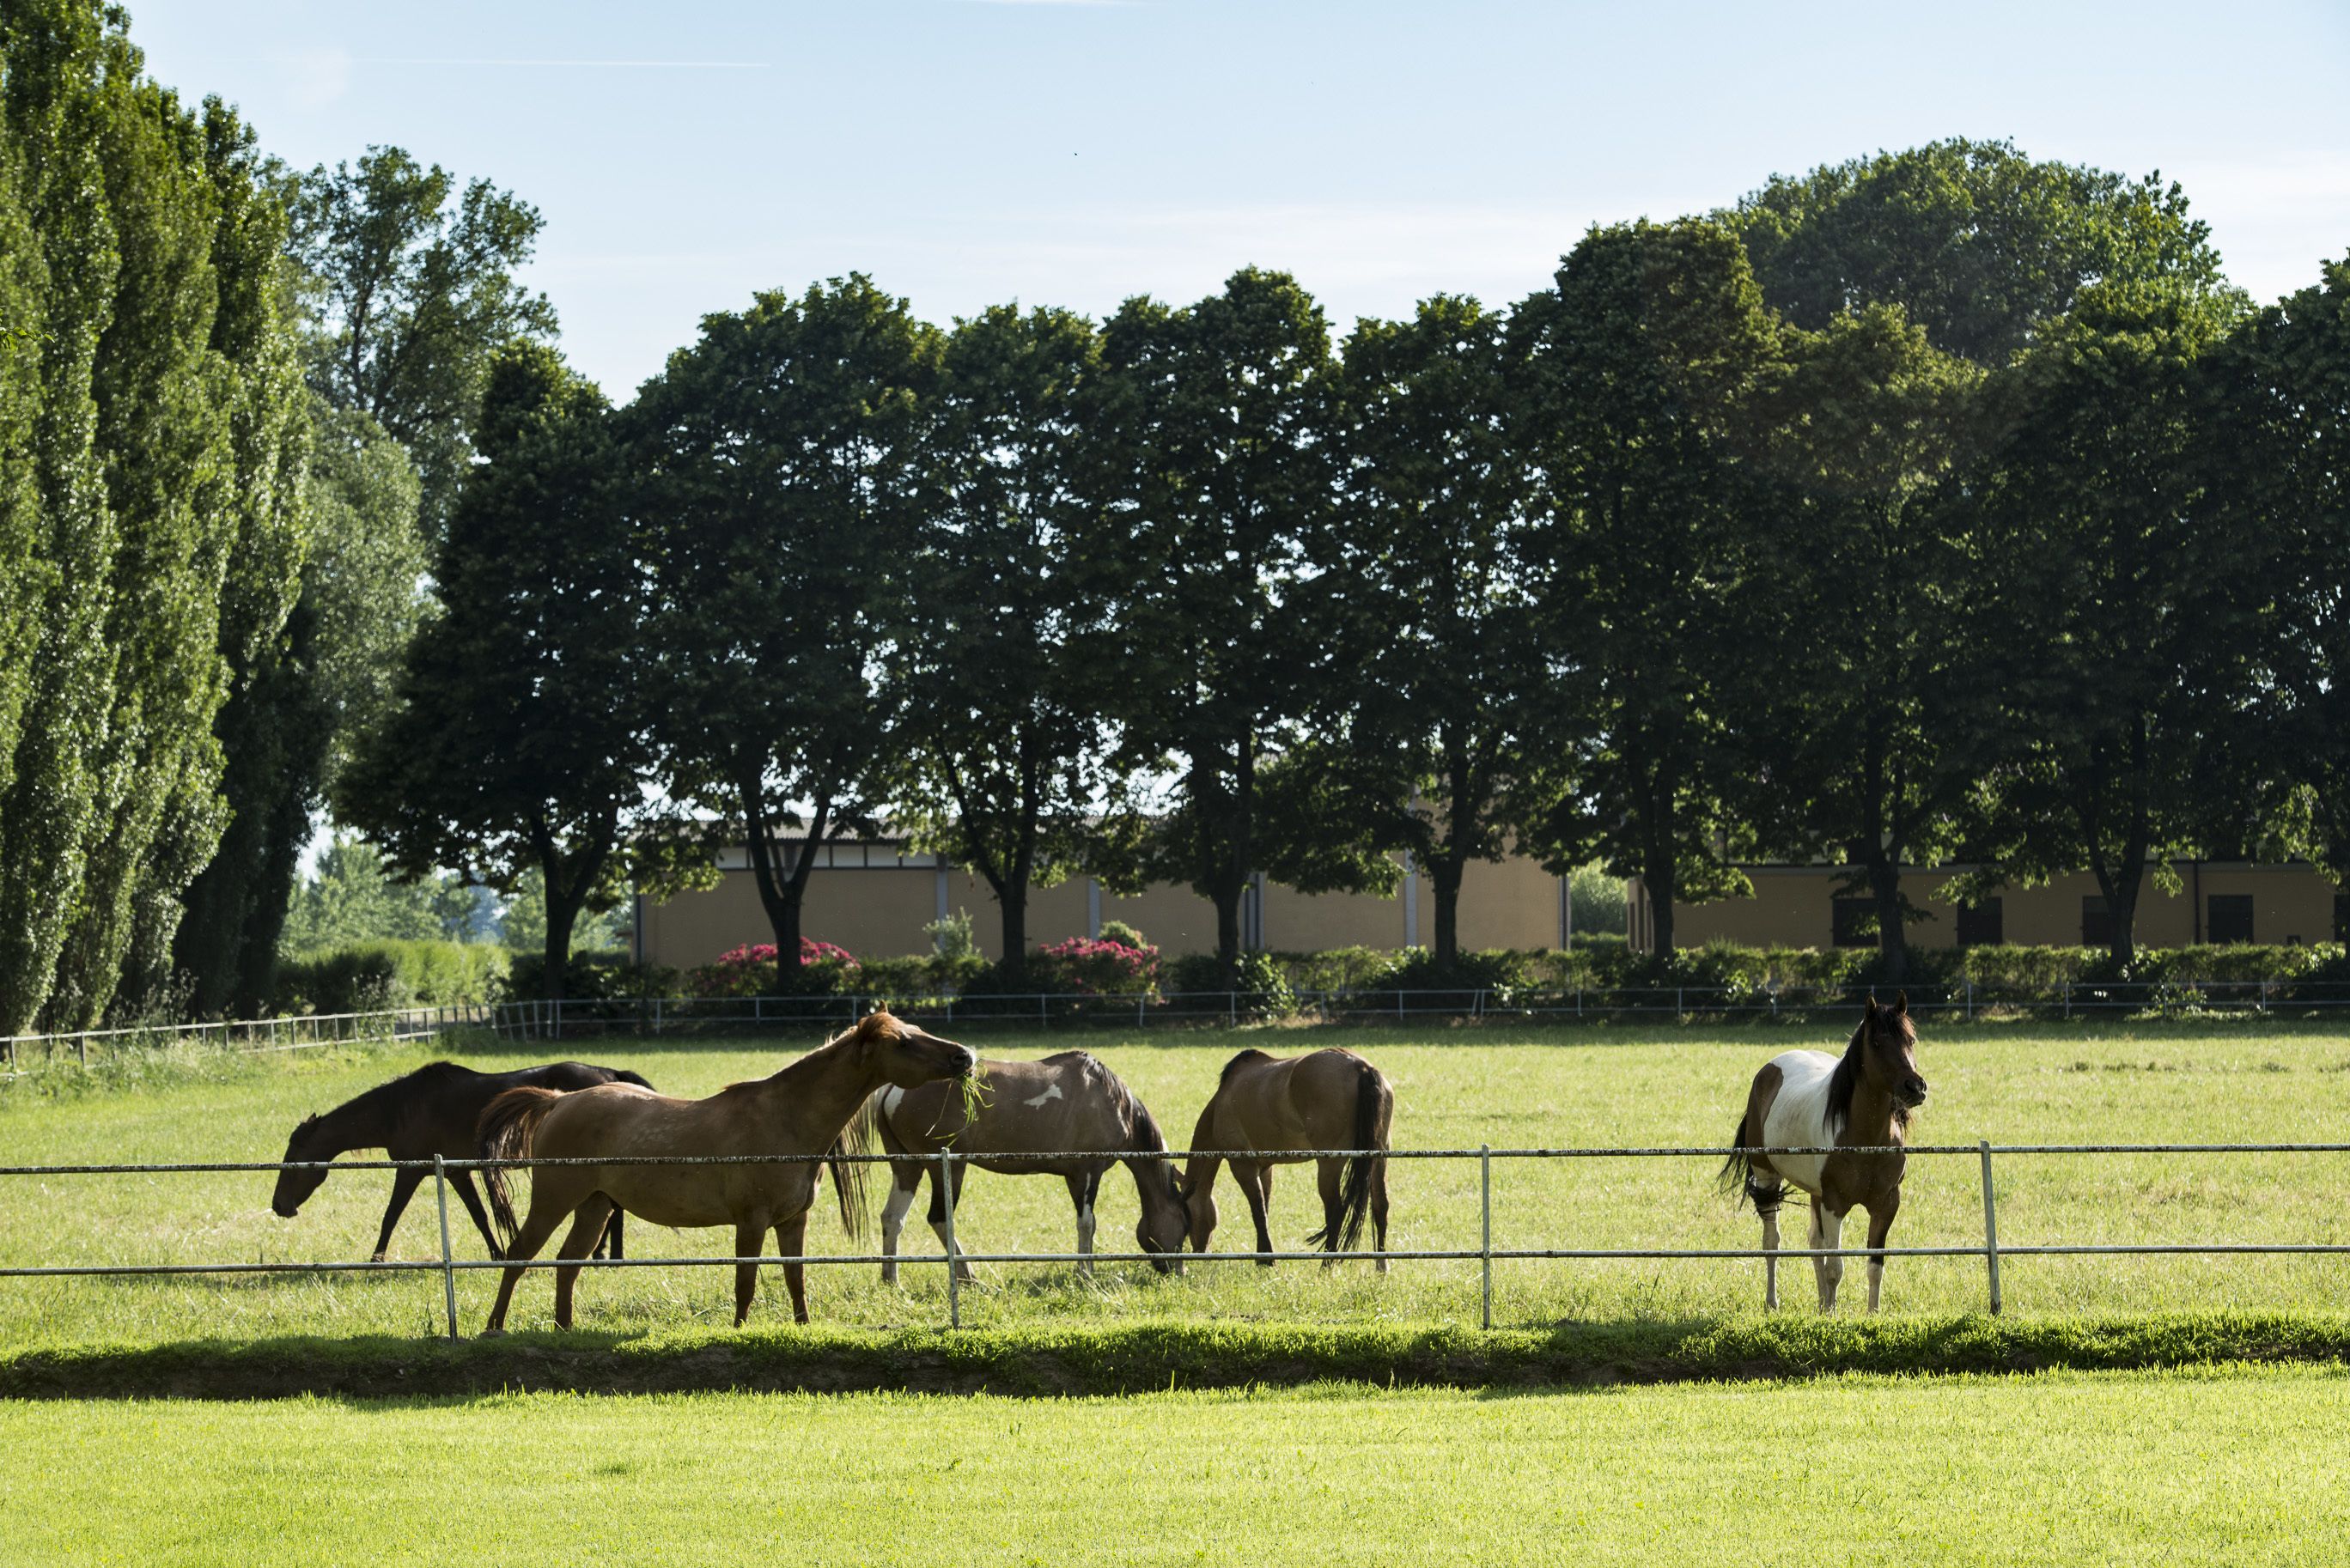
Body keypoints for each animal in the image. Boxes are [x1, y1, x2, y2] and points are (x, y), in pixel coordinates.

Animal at [271, 1059, 653, 1262]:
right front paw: (497, 1254)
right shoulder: (455, 1173)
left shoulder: (409, 1173)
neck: (401, 1111)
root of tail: (611, 1074)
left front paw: (376, 1259)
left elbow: (390, 1216)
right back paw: (605, 1252)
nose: (278, 1206)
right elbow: (479, 1216)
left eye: (292, 1158)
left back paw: (608, 1253)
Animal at [474, 1009, 973, 1333]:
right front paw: (739, 1329)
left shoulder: (794, 1221)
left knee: (568, 1263)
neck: (785, 1119)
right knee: (518, 1256)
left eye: (918, 1030)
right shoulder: (751, 1221)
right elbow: (745, 1282)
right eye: (903, 1042)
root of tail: (558, 1101)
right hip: (553, 1202)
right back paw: (495, 1326)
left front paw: (804, 1326)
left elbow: (795, 1279)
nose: (964, 1057)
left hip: (595, 1208)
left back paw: (564, 1328)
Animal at [871, 1050, 1188, 1284]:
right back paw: (968, 1276)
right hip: (947, 1170)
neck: (1111, 1099)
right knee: (939, 1219)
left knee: (893, 1218)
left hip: (907, 1169)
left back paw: (891, 1279)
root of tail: (893, 1089)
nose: (1180, 1271)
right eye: (1185, 1223)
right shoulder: (1089, 1171)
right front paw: (1086, 1274)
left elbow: (1086, 1223)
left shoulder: (1074, 1177)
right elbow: (1087, 1223)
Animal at [1179, 1046, 1393, 1268]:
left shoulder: (1243, 1167)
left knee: (1336, 1210)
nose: (1199, 1251)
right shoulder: (1265, 1168)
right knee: (1381, 1205)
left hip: (1329, 1165)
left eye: (1186, 1213)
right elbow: (1264, 1208)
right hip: (1379, 1158)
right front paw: (1262, 1258)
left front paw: (1268, 1260)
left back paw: (1326, 1266)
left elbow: (1258, 1212)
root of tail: (1361, 1067)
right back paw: (1382, 1266)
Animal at [1720, 991, 1929, 1313]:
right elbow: (1836, 1267)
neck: (1866, 1141)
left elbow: (1874, 1265)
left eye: (1911, 1039)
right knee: (1772, 1241)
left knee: (1814, 1244)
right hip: (1768, 1179)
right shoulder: (1835, 1204)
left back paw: (1819, 1303)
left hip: (1815, 1193)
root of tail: (1768, 1071)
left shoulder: (1886, 1204)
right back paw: (1773, 1302)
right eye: (1876, 1043)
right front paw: (1832, 1315)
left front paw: (1871, 1314)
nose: (1915, 1088)